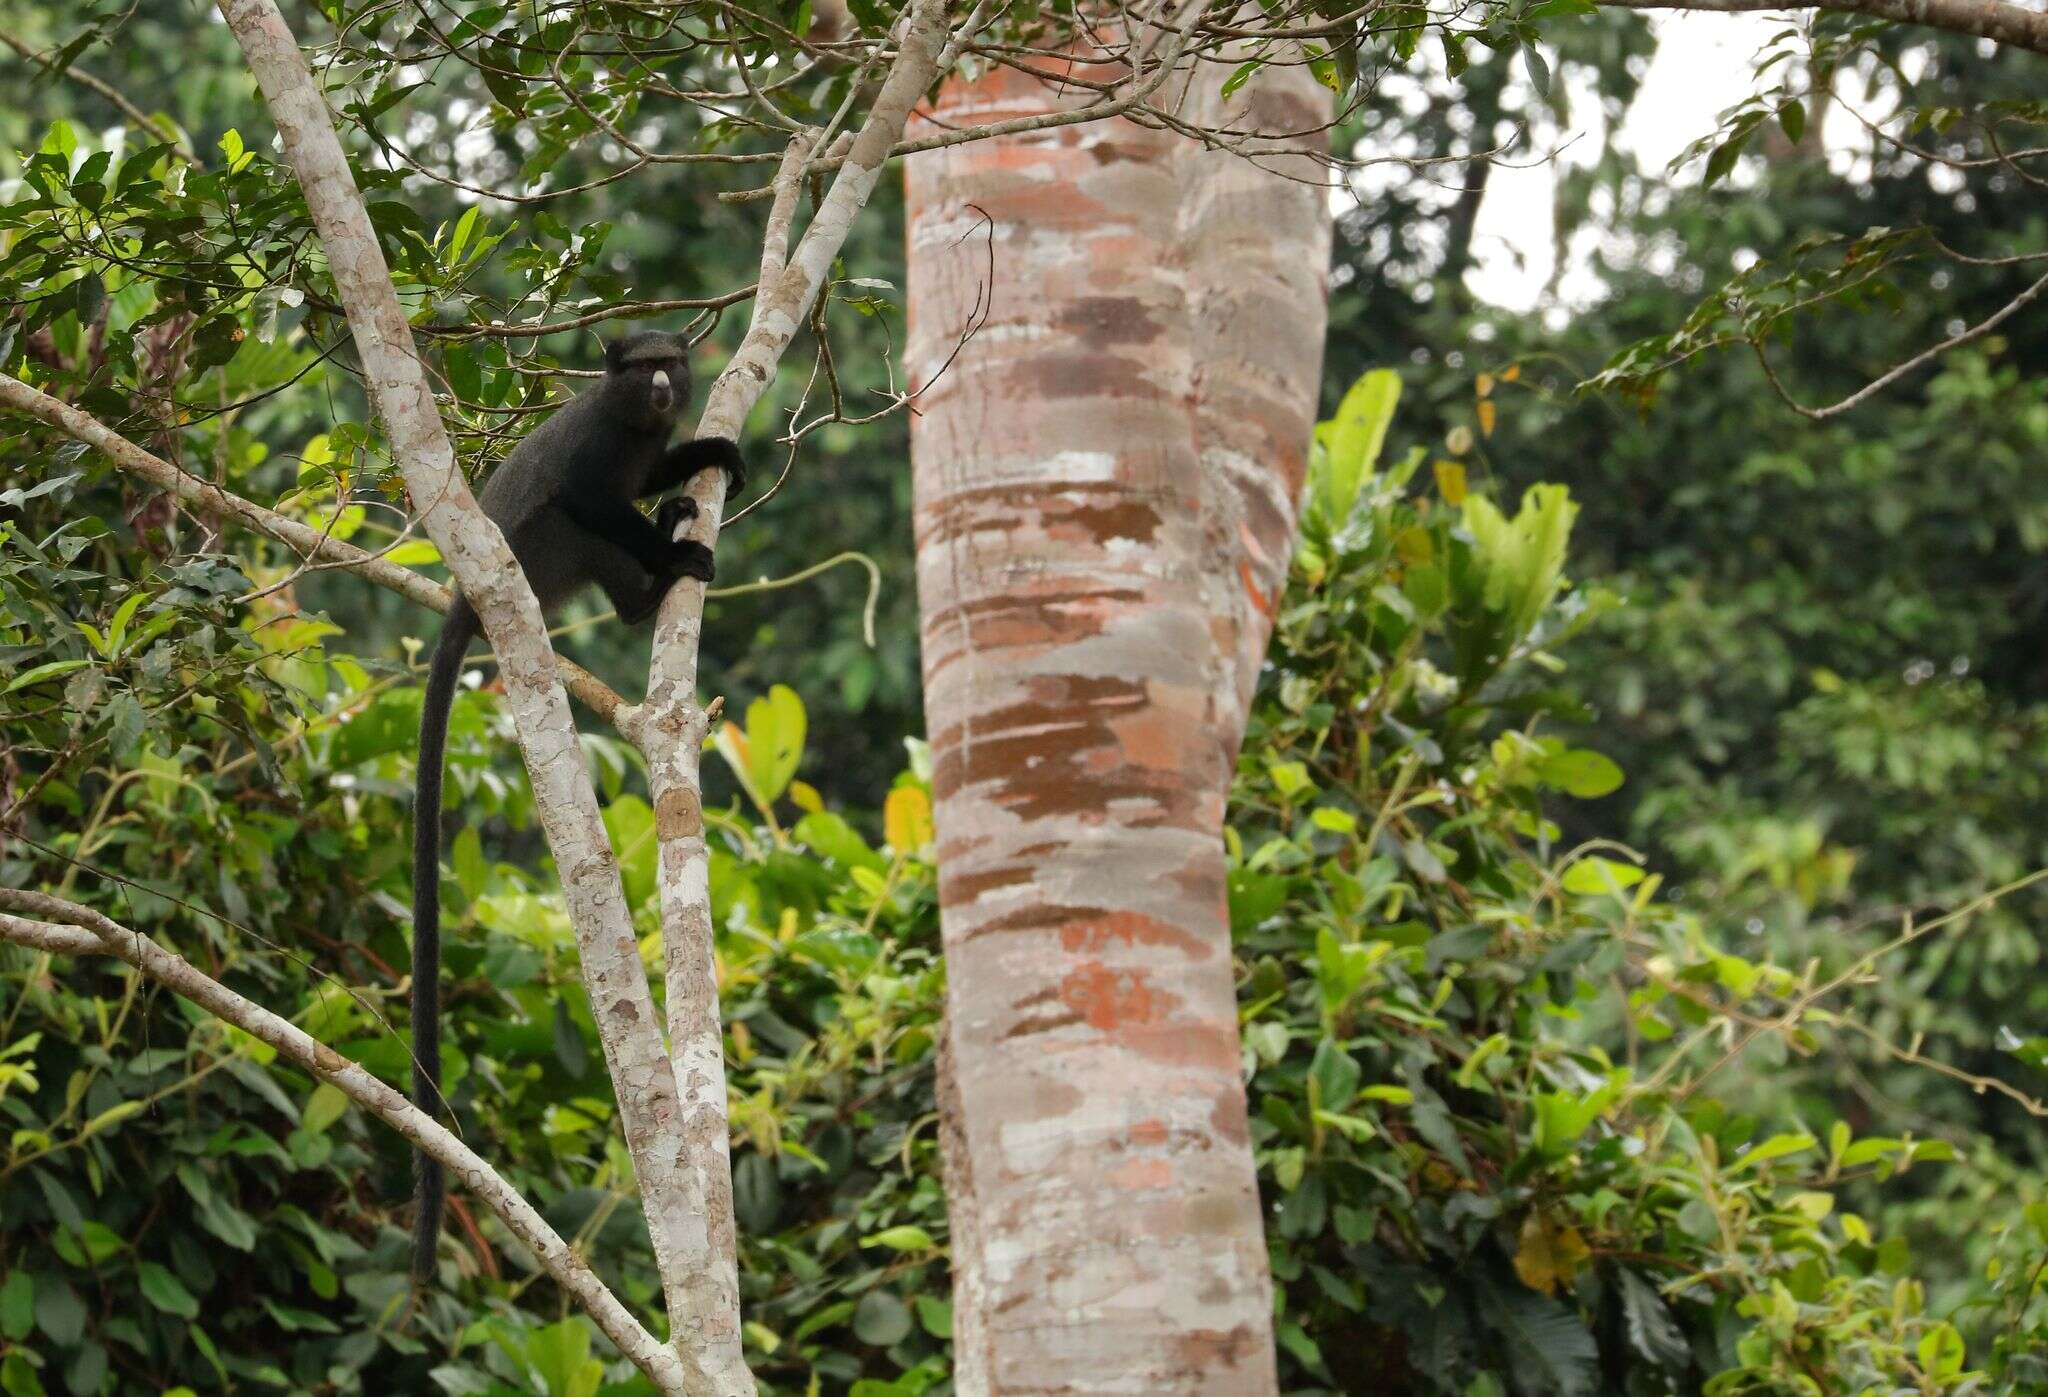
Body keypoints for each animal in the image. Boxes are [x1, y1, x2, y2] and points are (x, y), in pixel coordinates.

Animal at [407, 329, 745, 1286]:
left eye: (673, 359)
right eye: (638, 366)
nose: (665, 382)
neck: (630, 421)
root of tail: (465, 599)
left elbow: (655, 472)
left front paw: (705, 455)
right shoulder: (595, 449)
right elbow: (595, 500)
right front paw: (663, 548)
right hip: (540, 562)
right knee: (578, 525)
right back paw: (654, 584)